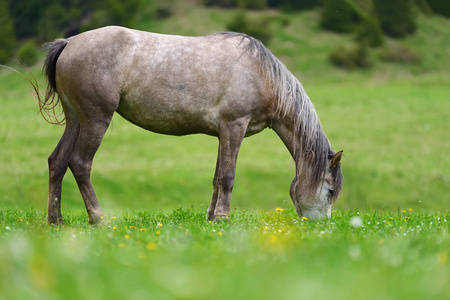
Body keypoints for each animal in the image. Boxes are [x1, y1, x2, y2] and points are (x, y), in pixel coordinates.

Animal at [33, 25, 342, 224]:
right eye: (329, 191)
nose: (322, 227)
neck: (261, 74)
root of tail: (68, 43)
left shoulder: (222, 133)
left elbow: (217, 177)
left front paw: (211, 218)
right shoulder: (234, 127)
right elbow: (228, 177)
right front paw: (223, 219)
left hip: (75, 120)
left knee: (57, 162)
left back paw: (56, 220)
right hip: (96, 119)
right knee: (80, 163)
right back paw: (98, 219)